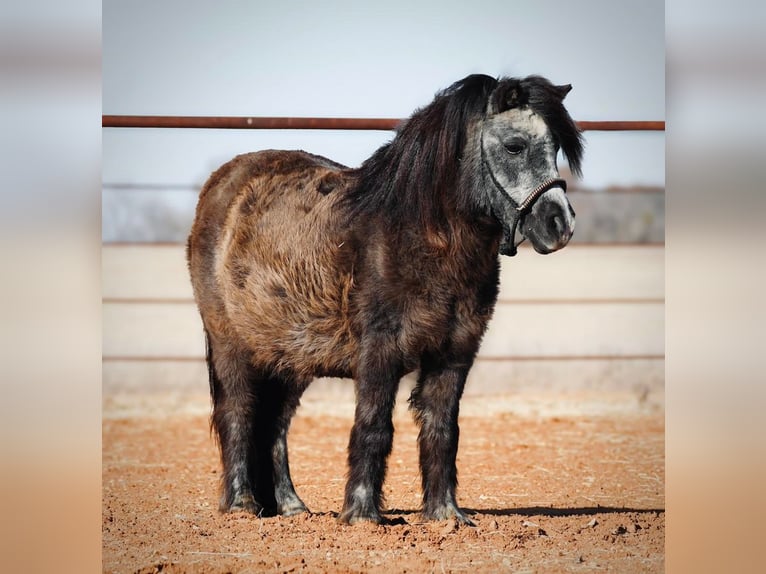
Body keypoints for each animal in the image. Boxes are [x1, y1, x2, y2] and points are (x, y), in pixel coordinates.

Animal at [187, 73, 584, 526]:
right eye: (515, 145)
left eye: (555, 147)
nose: (559, 224)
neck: (421, 234)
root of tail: (222, 185)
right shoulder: (380, 351)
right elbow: (374, 426)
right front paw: (362, 514)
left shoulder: (455, 353)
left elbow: (442, 428)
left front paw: (445, 514)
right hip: (231, 344)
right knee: (238, 411)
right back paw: (241, 505)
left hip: (289, 358)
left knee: (275, 424)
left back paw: (291, 507)